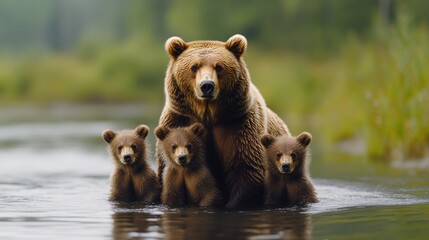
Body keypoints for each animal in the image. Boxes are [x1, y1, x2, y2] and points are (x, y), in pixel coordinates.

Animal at [155, 34, 290, 208]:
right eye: (194, 67)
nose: (207, 86)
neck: (208, 113)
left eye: (218, 67)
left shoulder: (239, 124)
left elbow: (246, 167)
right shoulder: (178, 119)